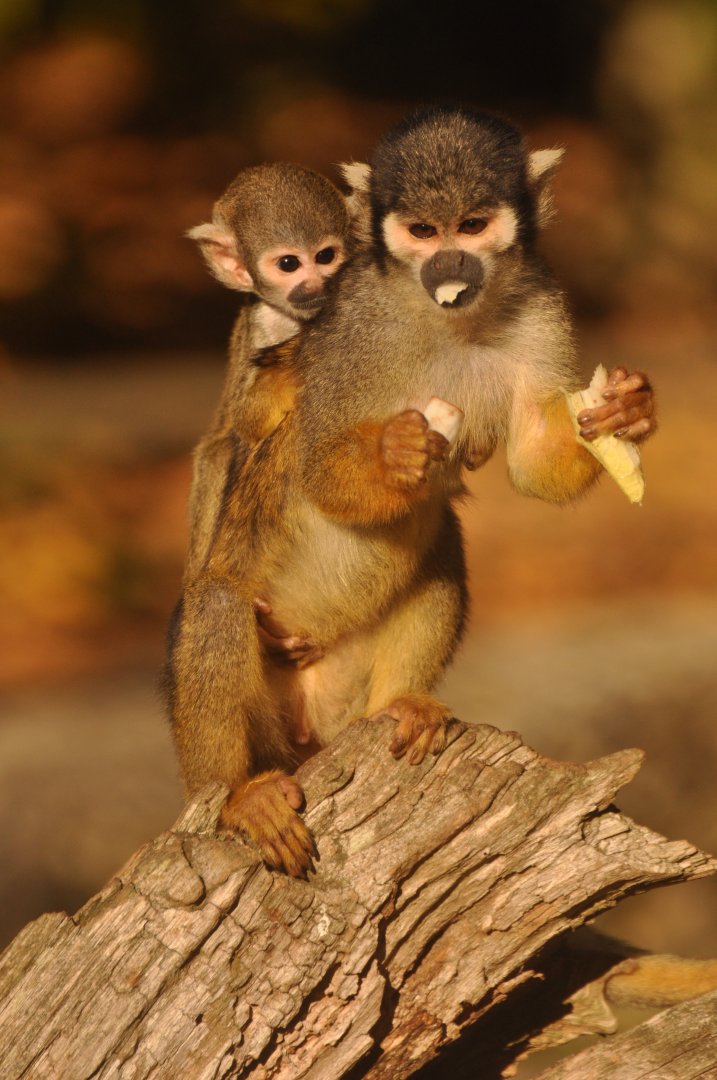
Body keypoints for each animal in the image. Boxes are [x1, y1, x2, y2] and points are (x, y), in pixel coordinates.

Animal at [169, 106, 656, 879]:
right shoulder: (350, 324)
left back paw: (403, 704)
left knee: (441, 551)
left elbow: (532, 460)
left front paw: (624, 413)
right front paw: (395, 453)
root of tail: (312, 728)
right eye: (423, 232)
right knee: (216, 598)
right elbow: (314, 464)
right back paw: (241, 794)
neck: (447, 319)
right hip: (265, 708)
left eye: (472, 225)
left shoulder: (540, 299)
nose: (449, 266)